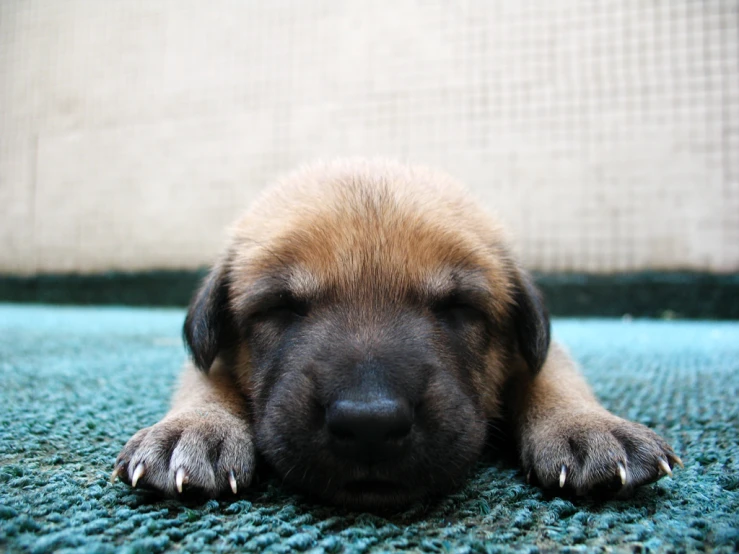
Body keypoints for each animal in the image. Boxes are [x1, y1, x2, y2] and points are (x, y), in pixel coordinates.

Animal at [112, 157, 684, 506]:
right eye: (280, 308)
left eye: (459, 308)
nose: (370, 424)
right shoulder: (210, 354)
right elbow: (204, 381)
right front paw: (195, 428)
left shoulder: (538, 351)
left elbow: (552, 376)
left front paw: (588, 426)